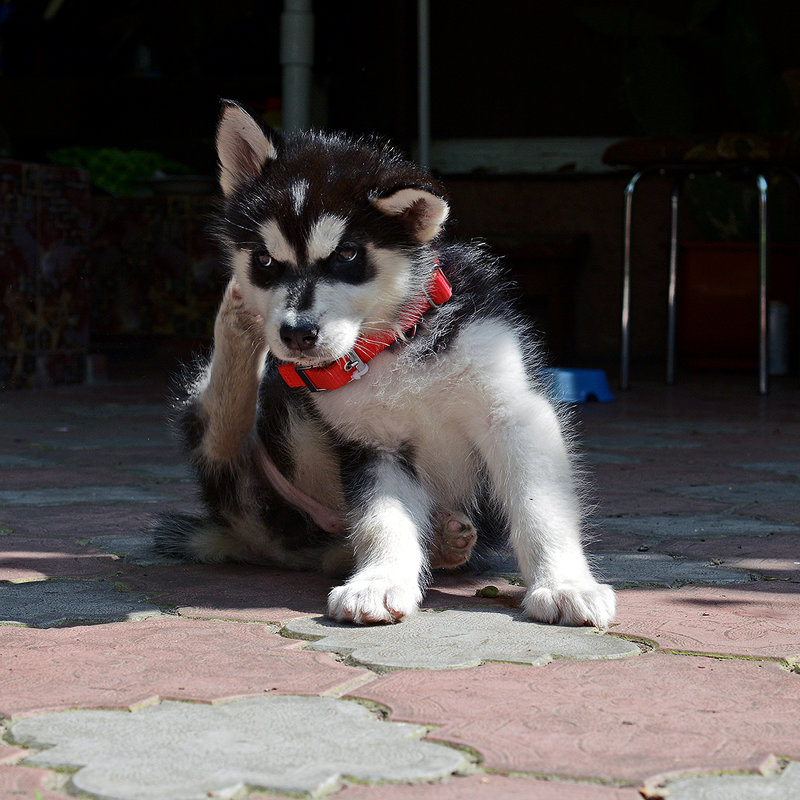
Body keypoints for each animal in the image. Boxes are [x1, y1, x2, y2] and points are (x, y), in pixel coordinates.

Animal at [156, 100, 620, 628]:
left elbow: (539, 505)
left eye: (347, 254)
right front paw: (379, 581)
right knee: (223, 432)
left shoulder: (512, 412)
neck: (395, 344)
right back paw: (238, 323)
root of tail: (258, 540)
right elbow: (382, 519)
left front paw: (564, 585)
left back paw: (443, 540)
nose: (295, 334)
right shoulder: (372, 443)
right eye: (265, 261)